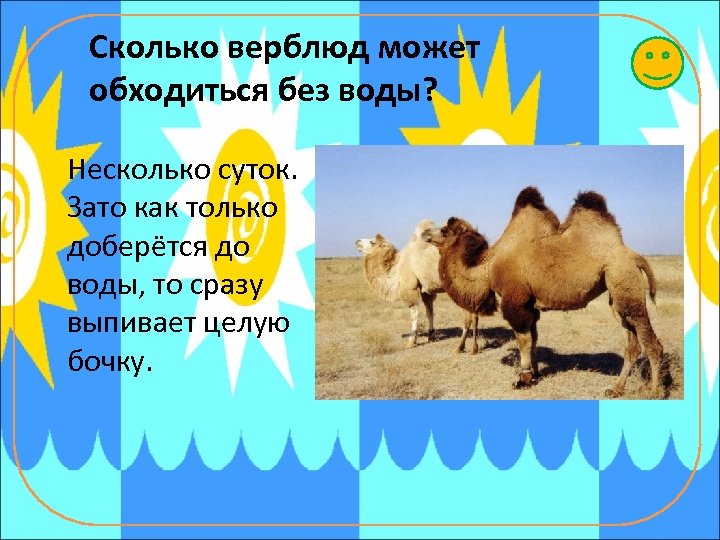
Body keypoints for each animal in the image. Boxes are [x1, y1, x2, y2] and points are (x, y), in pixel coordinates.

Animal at [355, 220, 496, 352]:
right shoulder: (426, 290)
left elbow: (414, 314)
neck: (397, 266)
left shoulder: (410, 287)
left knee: (471, 316)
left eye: (372, 242)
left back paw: (464, 348)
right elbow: (430, 312)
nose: (357, 241)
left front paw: (411, 341)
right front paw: (431, 336)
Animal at [422, 187, 663, 397]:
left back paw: (653, 391)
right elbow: (534, 337)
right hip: (617, 290)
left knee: (650, 341)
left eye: (444, 230)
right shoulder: (530, 304)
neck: (488, 267)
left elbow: (523, 339)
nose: (424, 232)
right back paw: (616, 389)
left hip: (623, 276)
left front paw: (523, 378)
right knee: (631, 343)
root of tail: (634, 256)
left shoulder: (515, 301)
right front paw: (536, 373)